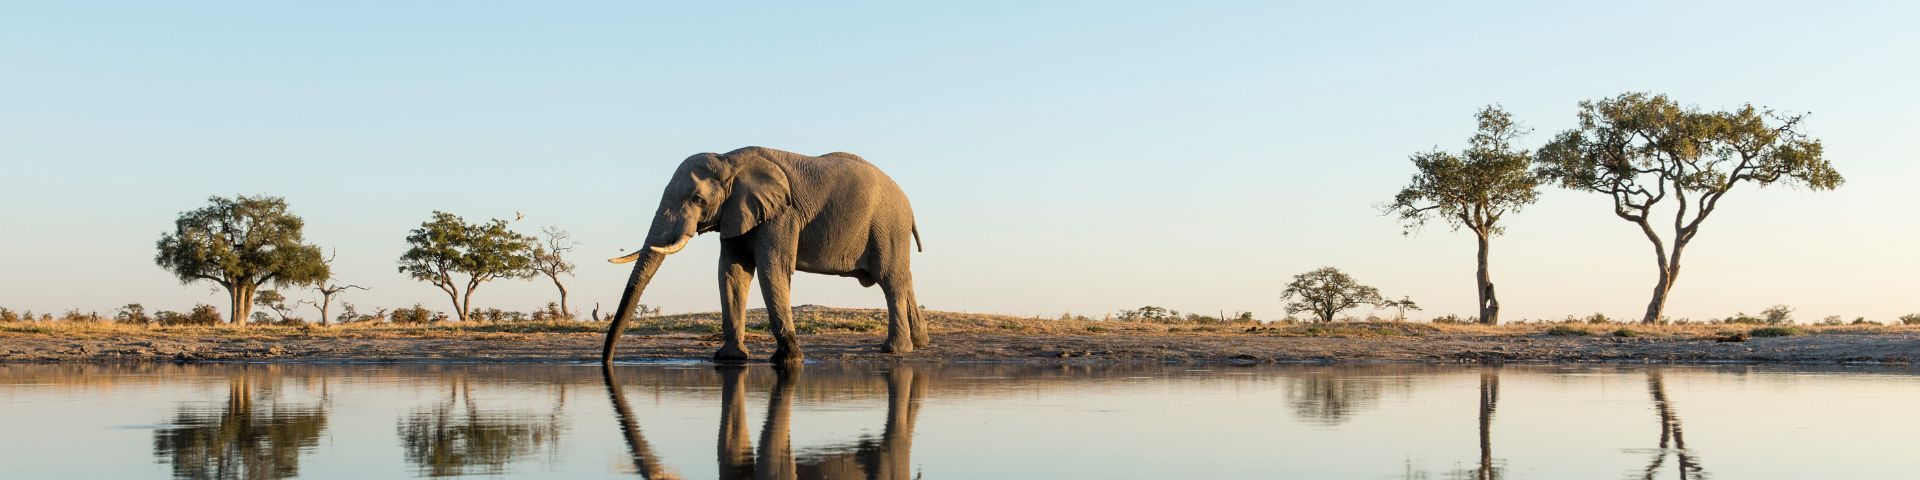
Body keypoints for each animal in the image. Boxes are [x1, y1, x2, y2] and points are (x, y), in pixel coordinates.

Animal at [602, 145, 925, 362]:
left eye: (697, 200)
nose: (607, 363)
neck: (729, 160)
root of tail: (909, 204)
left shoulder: (782, 215)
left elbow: (773, 268)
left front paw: (788, 360)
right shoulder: (735, 214)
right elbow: (732, 272)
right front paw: (730, 358)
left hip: (887, 225)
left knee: (890, 280)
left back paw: (895, 350)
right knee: (904, 278)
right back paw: (920, 342)